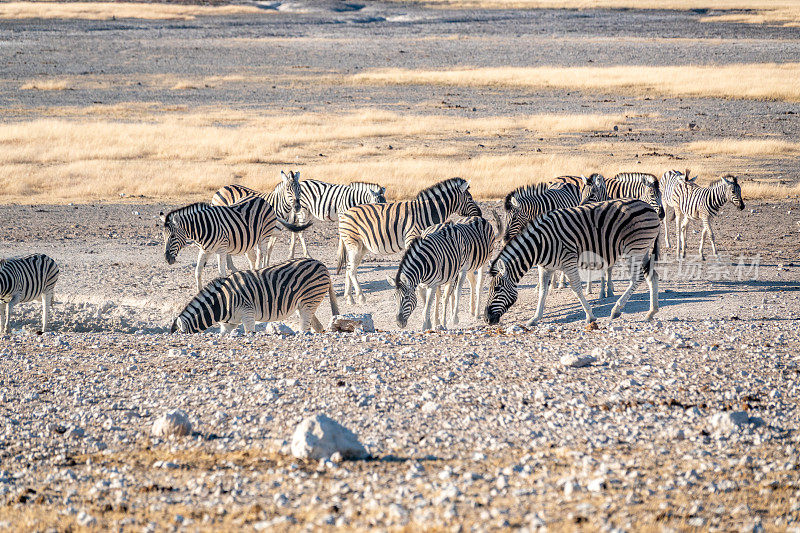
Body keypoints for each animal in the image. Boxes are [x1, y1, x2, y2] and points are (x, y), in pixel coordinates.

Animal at [160, 195, 306, 290]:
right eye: (163, 236)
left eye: (173, 236)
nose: (167, 259)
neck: (203, 229)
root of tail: (263, 200)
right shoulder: (204, 250)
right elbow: (198, 272)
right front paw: (199, 292)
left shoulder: (221, 249)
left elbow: (221, 273)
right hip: (249, 241)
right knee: (253, 259)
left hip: (263, 236)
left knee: (261, 256)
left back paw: (261, 272)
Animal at [172, 256, 338, 332]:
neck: (222, 302)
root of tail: (321, 263)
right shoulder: (229, 323)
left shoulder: (248, 314)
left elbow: (249, 333)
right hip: (304, 305)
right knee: (316, 326)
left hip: (309, 301)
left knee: (305, 327)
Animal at [332, 177, 478, 304]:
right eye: (470, 198)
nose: (479, 214)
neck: (427, 212)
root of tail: (345, 213)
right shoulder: (412, 238)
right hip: (354, 244)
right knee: (351, 269)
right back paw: (360, 297)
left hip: (361, 246)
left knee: (349, 267)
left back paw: (349, 297)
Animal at [484, 198, 660, 326]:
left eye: (497, 289)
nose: (486, 319)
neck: (540, 245)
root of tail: (649, 207)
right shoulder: (545, 267)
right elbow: (543, 291)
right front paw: (535, 318)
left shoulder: (568, 262)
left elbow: (576, 288)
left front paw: (590, 316)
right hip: (643, 249)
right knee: (652, 276)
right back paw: (651, 312)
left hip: (634, 249)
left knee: (637, 278)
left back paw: (616, 309)